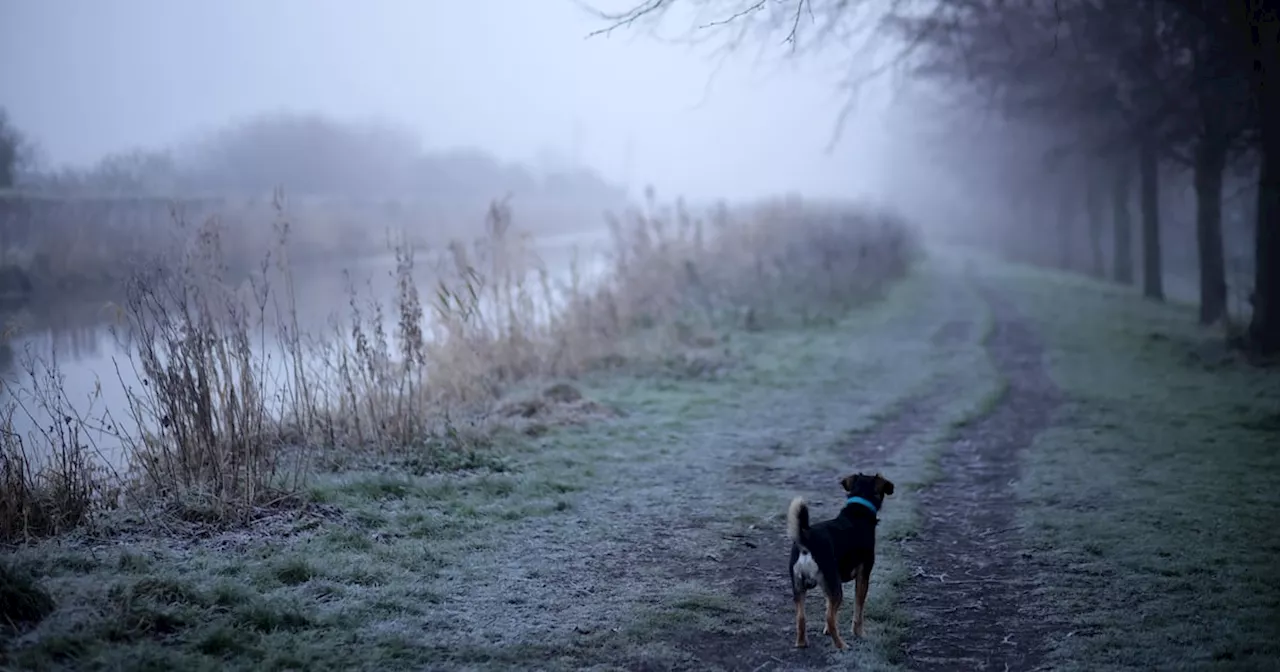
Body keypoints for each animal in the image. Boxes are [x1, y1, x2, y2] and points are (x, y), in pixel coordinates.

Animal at [783, 471, 896, 650]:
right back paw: (841, 645)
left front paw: (826, 631)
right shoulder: (863, 576)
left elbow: (827, 606)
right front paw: (859, 633)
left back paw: (802, 643)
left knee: (801, 617)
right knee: (830, 617)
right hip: (836, 589)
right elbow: (858, 610)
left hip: (800, 588)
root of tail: (806, 541)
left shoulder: (829, 585)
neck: (857, 512)